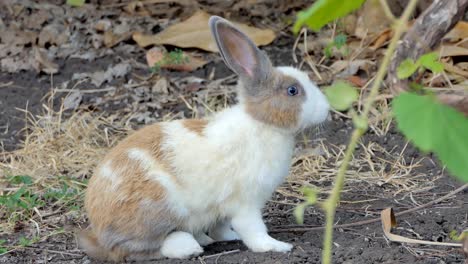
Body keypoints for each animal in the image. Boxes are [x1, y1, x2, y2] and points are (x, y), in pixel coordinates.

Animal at [78, 16, 330, 262]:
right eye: (292, 91)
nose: (327, 109)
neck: (262, 124)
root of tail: (99, 226)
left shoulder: (222, 208)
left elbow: (222, 226)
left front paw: (228, 237)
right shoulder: (246, 202)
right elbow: (253, 229)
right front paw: (276, 246)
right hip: (157, 209)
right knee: (134, 249)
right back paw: (187, 246)